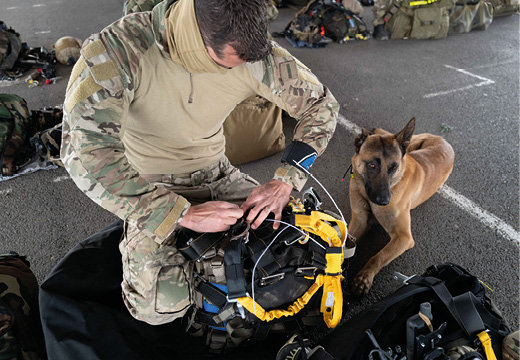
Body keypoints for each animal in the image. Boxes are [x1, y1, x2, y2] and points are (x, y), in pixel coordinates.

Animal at [350, 118, 456, 296]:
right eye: (371, 165)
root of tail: (445, 141)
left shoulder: (404, 237)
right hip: (413, 144)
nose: (384, 201)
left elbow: (378, 257)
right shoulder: (359, 220)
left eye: (394, 167)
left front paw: (365, 277)